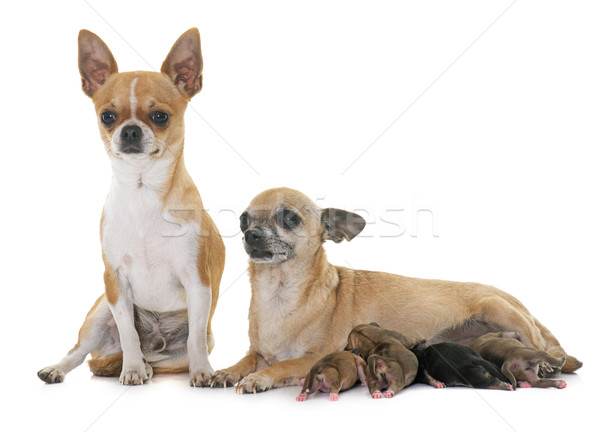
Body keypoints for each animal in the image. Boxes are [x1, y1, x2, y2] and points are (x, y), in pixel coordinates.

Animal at [37, 28, 225, 386]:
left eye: (160, 117)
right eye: (107, 117)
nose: (131, 130)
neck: (142, 192)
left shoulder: (197, 281)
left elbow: (194, 338)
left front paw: (203, 371)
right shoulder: (115, 282)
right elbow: (128, 332)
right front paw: (134, 369)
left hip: (193, 342)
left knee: (176, 352)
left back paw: (157, 365)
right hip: (98, 312)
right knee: (82, 352)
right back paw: (63, 368)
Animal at [210, 187, 580, 394]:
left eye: (289, 218)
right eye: (243, 220)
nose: (251, 235)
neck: (279, 292)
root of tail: (512, 297)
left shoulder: (314, 357)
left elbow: (281, 366)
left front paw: (260, 378)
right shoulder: (258, 351)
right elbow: (247, 360)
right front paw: (227, 371)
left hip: (498, 310)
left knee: (546, 348)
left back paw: (550, 364)